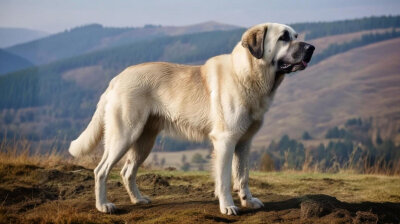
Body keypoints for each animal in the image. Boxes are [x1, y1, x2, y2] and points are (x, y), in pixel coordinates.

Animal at [69, 22, 316, 215]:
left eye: (296, 36)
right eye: (283, 38)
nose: (311, 48)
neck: (247, 74)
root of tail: (116, 79)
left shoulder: (244, 143)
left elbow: (242, 176)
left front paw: (248, 201)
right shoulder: (225, 141)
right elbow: (224, 179)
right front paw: (228, 206)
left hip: (144, 141)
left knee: (126, 171)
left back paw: (138, 199)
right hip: (124, 135)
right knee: (101, 170)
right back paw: (103, 205)